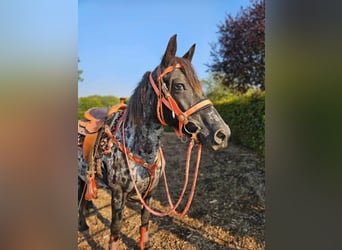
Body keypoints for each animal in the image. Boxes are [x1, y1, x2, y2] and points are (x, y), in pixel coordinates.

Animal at [79, 34, 231, 249]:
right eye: (179, 85)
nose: (222, 134)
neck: (142, 151)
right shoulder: (118, 195)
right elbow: (115, 232)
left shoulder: (149, 194)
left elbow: (145, 223)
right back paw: (83, 224)